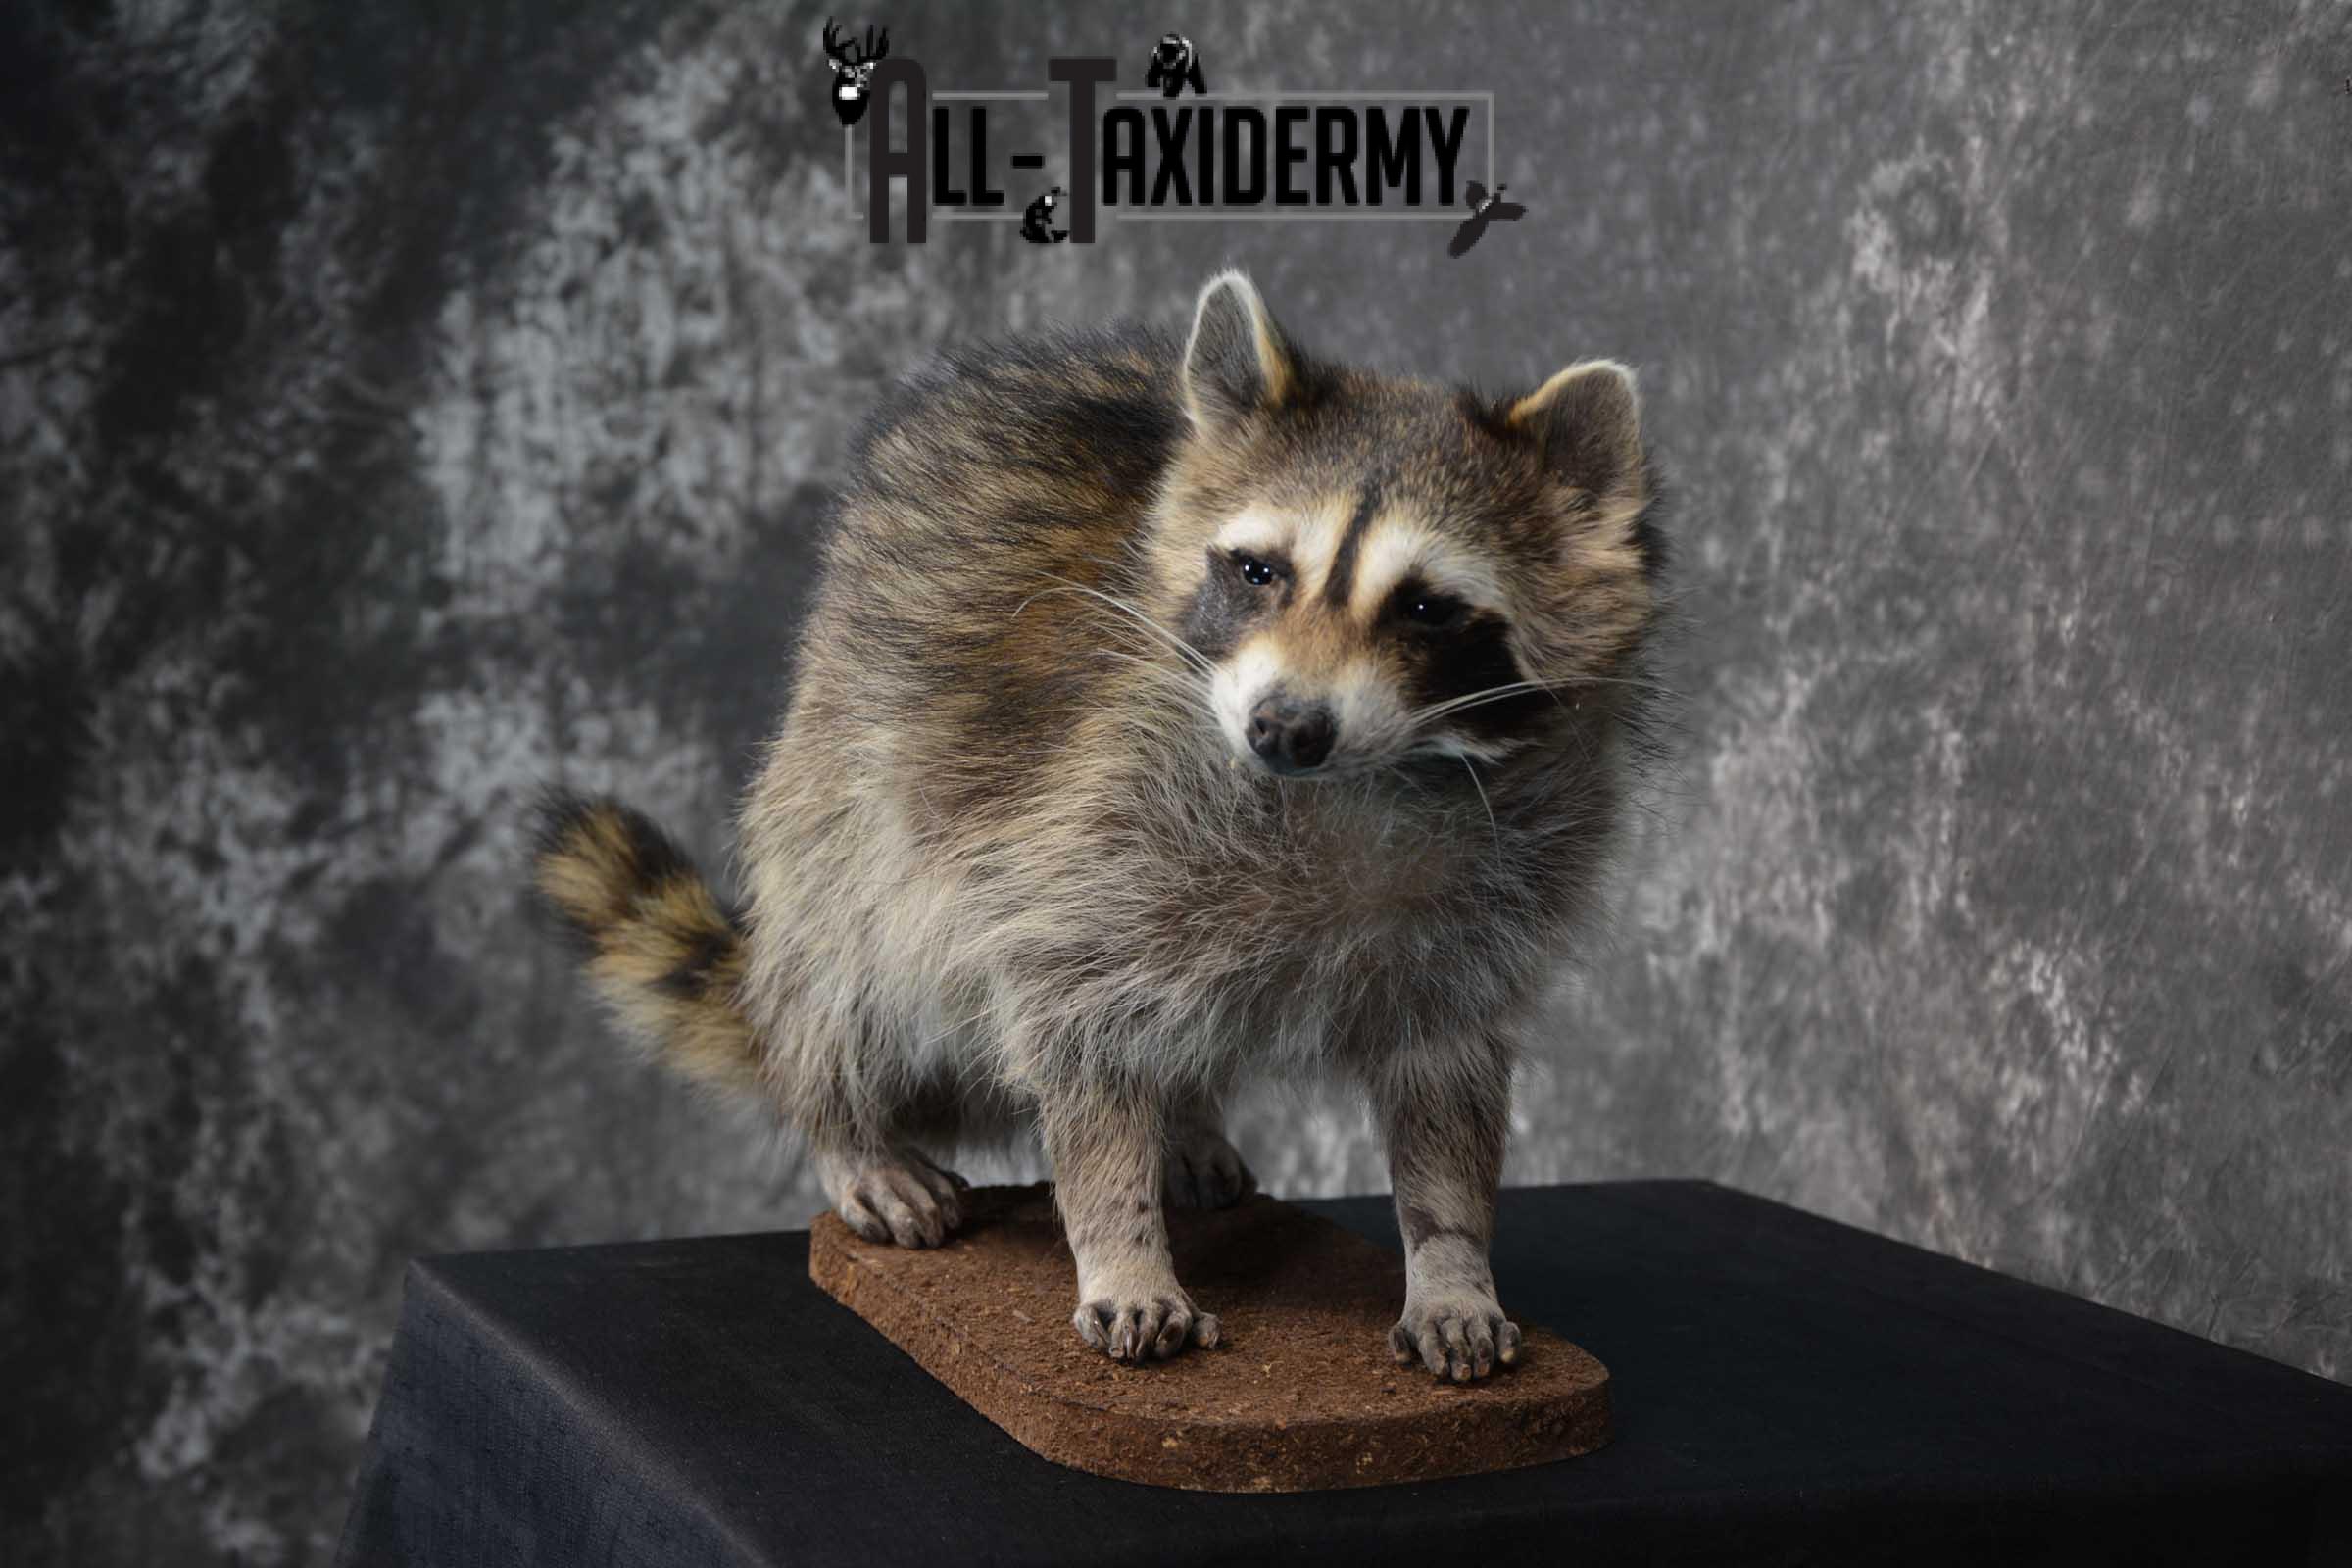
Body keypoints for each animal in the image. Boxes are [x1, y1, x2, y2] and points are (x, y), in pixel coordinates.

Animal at [534, 272, 1667, 1381]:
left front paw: (1451, 1262)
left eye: (1426, 607)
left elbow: (1447, 1090)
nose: (1284, 728)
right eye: (1259, 571)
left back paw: (1187, 1119)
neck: (1356, 783)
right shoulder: (1087, 821)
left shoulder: (1497, 890)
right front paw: (1121, 1239)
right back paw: (848, 1121)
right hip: (841, 773)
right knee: (851, 955)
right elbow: (1077, 1030)